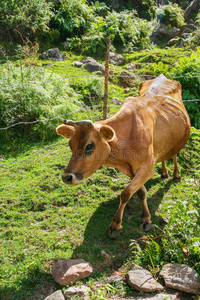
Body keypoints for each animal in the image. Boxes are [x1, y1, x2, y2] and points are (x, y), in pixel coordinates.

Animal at [56, 74, 191, 237]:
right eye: (70, 145)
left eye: (89, 146)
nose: (67, 177)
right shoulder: (132, 169)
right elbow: (141, 192)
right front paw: (145, 217)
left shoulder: (147, 168)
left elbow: (126, 193)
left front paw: (116, 224)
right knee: (164, 155)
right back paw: (164, 172)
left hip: (177, 140)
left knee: (175, 154)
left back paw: (176, 174)